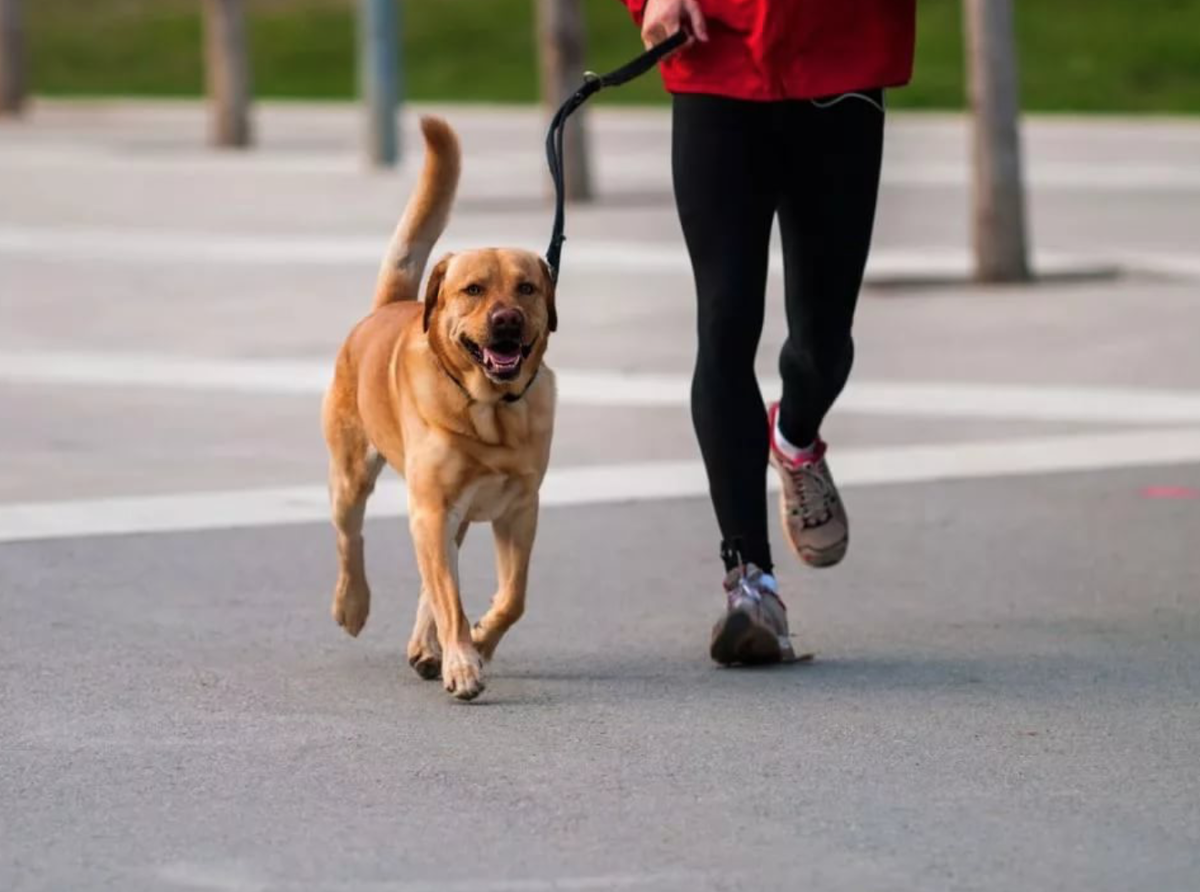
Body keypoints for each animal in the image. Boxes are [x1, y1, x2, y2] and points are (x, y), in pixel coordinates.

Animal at [324, 118, 556, 701]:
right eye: (472, 289)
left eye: (526, 287)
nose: (506, 320)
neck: (489, 411)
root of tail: (386, 307)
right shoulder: (432, 507)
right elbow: (450, 597)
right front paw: (463, 663)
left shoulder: (520, 510)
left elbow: (512, 597)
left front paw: (480, 640)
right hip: (353, 477)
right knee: (350, 539)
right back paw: (353, 605)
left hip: (452, 515)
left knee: (435, 578)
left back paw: (429, 648)